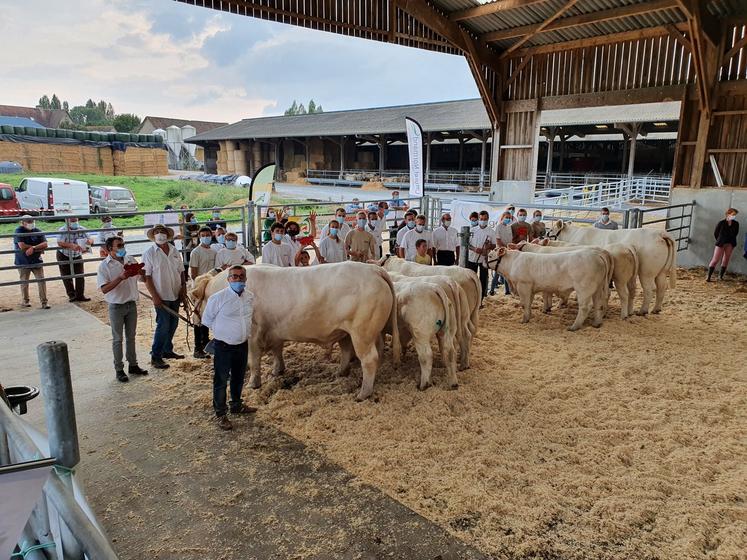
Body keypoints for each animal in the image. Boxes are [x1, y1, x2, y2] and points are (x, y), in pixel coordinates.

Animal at [193, 262, 404, 398]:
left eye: (196, 297)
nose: (196, 320)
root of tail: (373, 269)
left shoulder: (253, 332)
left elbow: (254, 361)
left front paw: (254, 383)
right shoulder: (275, 331)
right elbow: (277, 351)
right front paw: (277, 370)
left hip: (362, 333)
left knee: (369, 359)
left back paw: (363, 393)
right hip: (354, 332)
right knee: (354, 351)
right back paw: (340, 373)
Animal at [548, 219, 676, 316]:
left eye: (552, 230)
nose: (546, 235)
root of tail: (660, 234)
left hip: (646, 272)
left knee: (649, 289)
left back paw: (642, 311)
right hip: (662, 271)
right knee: (661, 287)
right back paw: (656, 309)